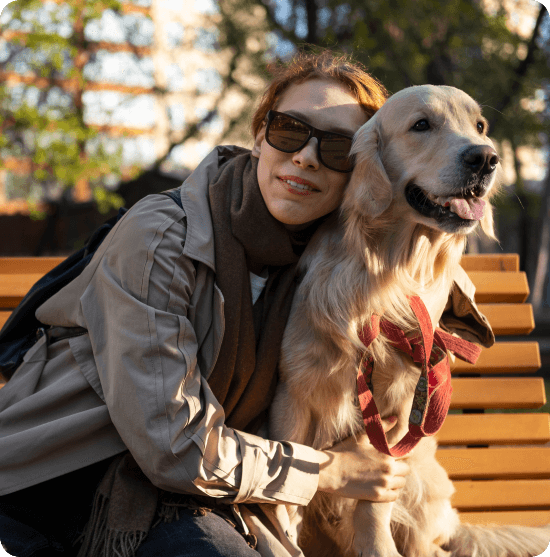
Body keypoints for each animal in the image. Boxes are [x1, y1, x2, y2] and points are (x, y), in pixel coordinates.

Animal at [272, 86, 550, 556]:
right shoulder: (294, 393)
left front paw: (377, 548)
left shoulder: (400, 412)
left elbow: (373, 504)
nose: (486, 158)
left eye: (480, 126)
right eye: (421, 125)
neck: (390, 276)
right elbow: (283, 500)